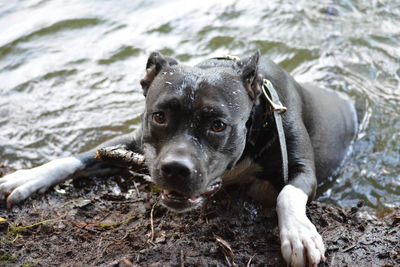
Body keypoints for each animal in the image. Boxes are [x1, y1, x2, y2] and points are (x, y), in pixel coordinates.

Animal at [0, 51, 356, 266]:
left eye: (218, 125)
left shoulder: (302, 169)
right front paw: (29, 176)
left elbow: (287, 194)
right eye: (159, 116)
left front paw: (298, 234)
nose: (175, 168)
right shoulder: (131, 143)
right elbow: (78, 157)